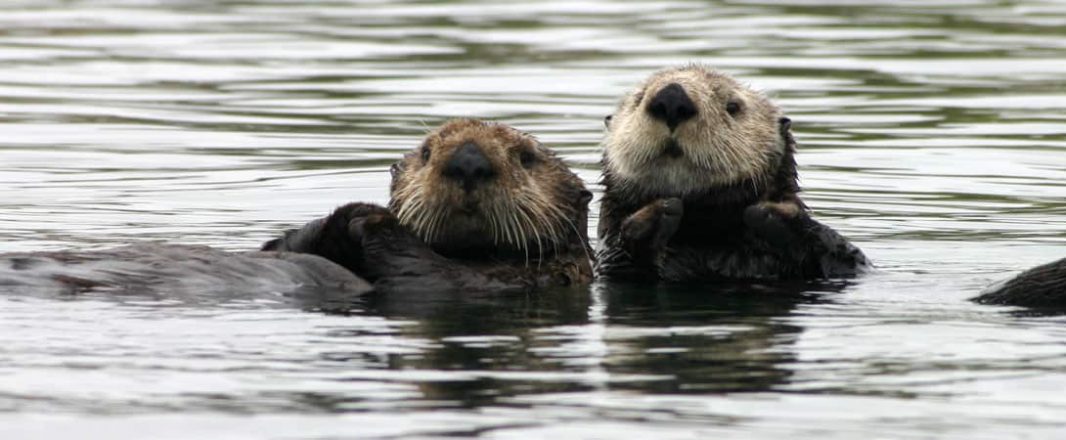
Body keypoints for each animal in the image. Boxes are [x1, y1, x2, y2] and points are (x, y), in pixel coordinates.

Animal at [263, 119, 594, 293]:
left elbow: (428, 271)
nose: (469, 162)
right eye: (425, 153)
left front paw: (370, 220)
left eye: (526, 157)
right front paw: (349, 216)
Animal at [596, 64, 869, 281]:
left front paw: (771, 214)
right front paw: (654, 215)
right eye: (638, 99)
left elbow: (847, 256)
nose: (672, 99)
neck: (704, 234)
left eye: (733, 106)